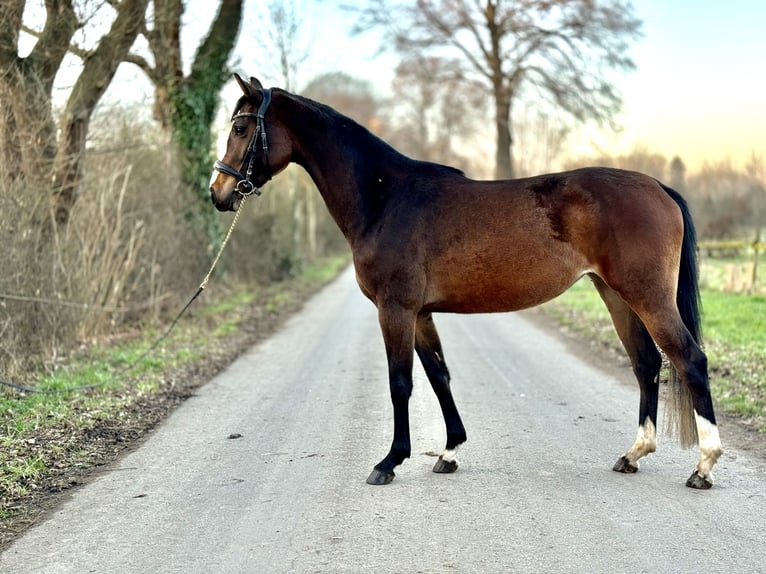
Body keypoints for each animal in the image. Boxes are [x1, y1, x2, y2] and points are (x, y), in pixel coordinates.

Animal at [210, 74, 728, 492]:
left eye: (240, 128)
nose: (218, 193)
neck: (385, 196)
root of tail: (658, 187)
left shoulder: (395, 309)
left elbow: (401, 382)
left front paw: (390, 462)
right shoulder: (420, 312)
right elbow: (438, 375)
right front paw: (449, 451)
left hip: (647, 296)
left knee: (689, 359)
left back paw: (703, 467)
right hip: (616, 295)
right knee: (646, 363)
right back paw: (633, 455)